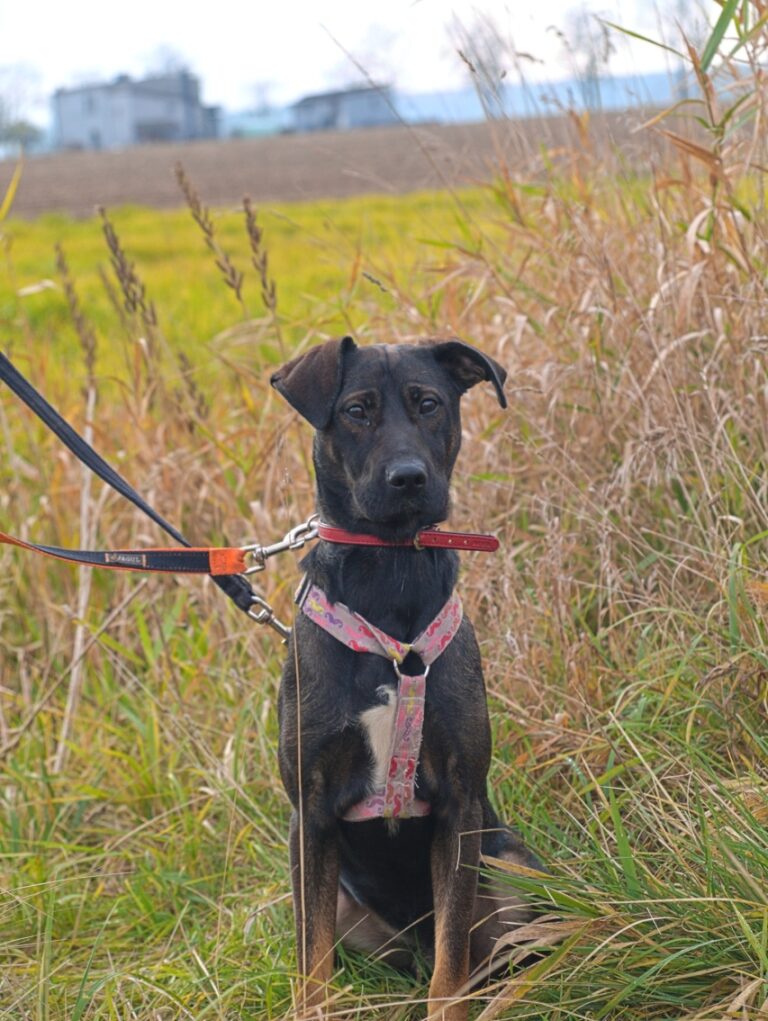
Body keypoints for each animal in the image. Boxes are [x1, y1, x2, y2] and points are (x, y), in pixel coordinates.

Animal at [269, 338, 539, 1016]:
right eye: (357, 410)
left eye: (429, 404)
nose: (409, 478)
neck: (388, 571)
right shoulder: (310, 813)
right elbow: (312, 962)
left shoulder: (460, 805)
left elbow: (451, 961)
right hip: (351, 908)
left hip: (511, 866)